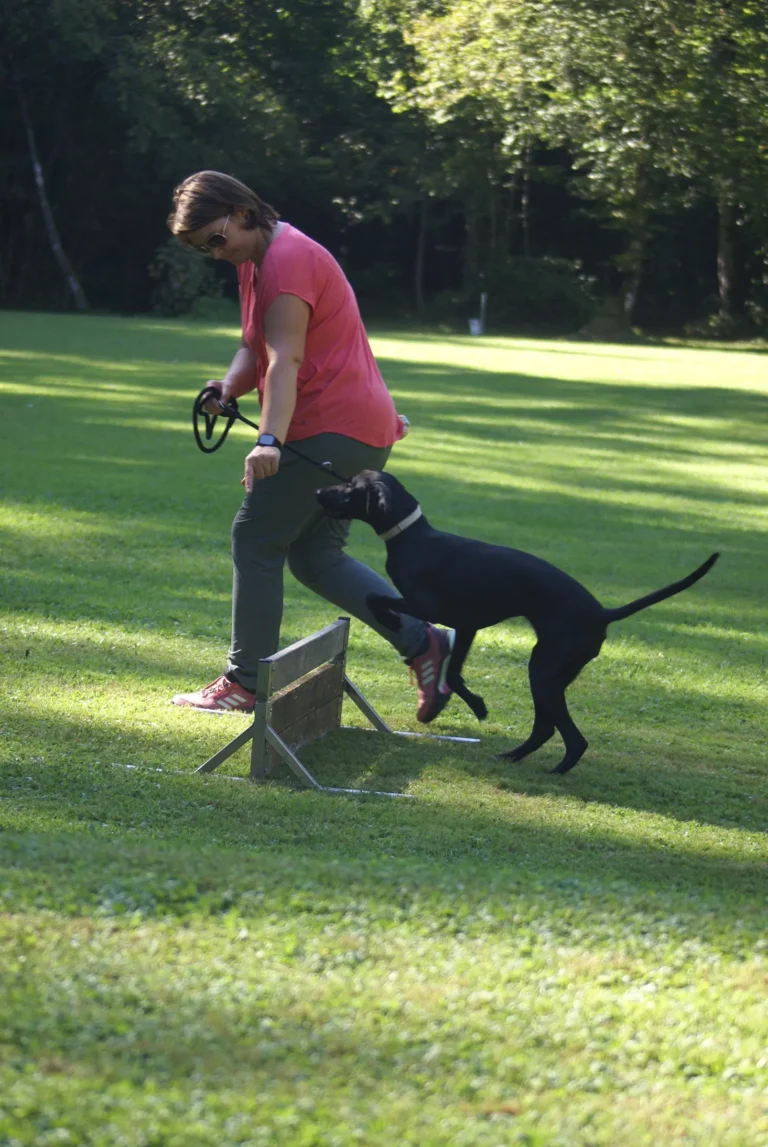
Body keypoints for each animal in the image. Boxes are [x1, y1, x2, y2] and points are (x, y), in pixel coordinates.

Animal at [316, 470, 719, 775]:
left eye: (351, 487)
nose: (319, 490)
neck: (412, 537)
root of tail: (602, 613)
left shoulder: (437, 610)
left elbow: (375, 599)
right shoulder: (468, 626)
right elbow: (454, 674)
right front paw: (477, 704)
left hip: (543, 672)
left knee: (570, 736)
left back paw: (553, 770)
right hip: (550, 673)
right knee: (545, 727)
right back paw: (513, 756)